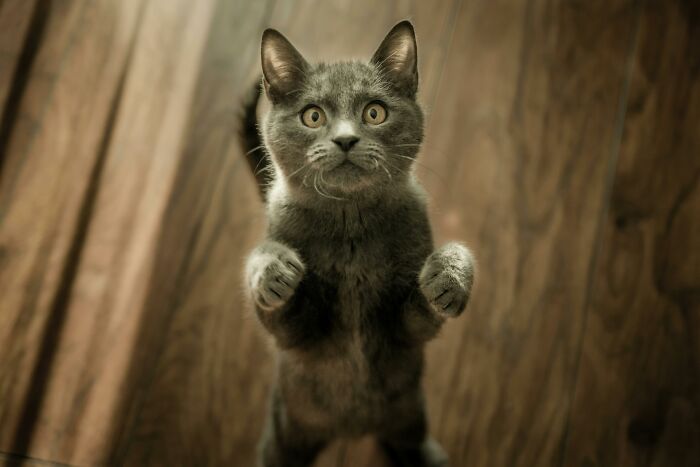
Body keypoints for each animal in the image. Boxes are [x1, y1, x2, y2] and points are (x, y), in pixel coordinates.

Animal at [241, 21, 476, 467]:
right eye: (313, 115)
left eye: (374, 112)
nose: (346, 140)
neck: (350, 226)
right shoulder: (296, 340)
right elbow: (276, 307)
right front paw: (274, 270)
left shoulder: (405, 334)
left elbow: (424, 311)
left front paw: (450, 276)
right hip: (285, 428)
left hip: (409, 411)